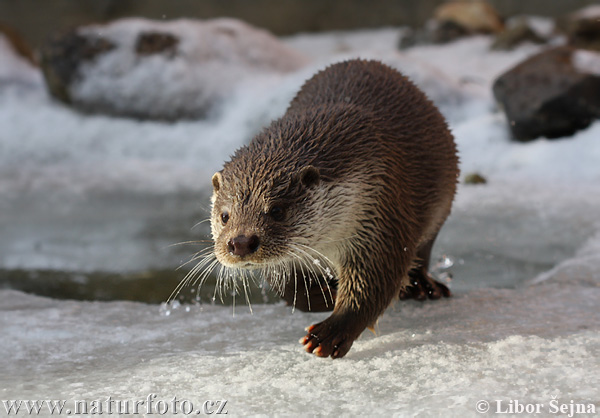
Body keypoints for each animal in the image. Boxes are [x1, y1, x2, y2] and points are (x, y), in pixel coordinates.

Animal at [209, 58, 458, 360]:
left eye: (277, 210)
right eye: (224, 216)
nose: (241, 242)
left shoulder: (381, 209)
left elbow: (375, 278)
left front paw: (330, 333)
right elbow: (288, 289)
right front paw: (326, 294)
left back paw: (423, 285)